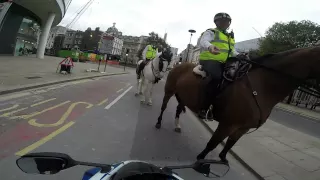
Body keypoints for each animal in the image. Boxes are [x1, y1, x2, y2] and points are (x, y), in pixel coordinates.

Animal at [155, 45, 320, 162]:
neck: (261, 85)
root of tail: (179, 64)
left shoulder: (243, 128)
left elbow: (230, 144)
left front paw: (222, 159)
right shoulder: (227, 124)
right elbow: (213, 143)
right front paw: (200, 160)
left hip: (183, 97)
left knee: (178, 109)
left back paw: (177, 126)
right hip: (169, 91)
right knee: (163, 107)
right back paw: (158, 122)